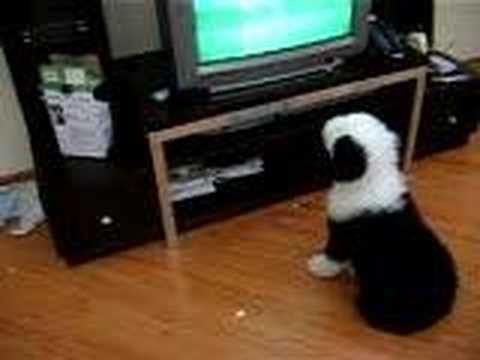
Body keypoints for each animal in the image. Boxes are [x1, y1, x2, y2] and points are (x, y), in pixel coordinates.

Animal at [310, 113, 456, 334]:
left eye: (341, 135)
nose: (327, 121)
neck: (373, 178)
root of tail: (439, 307)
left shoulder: (344, 232)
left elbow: (334, 254)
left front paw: (318, 266)